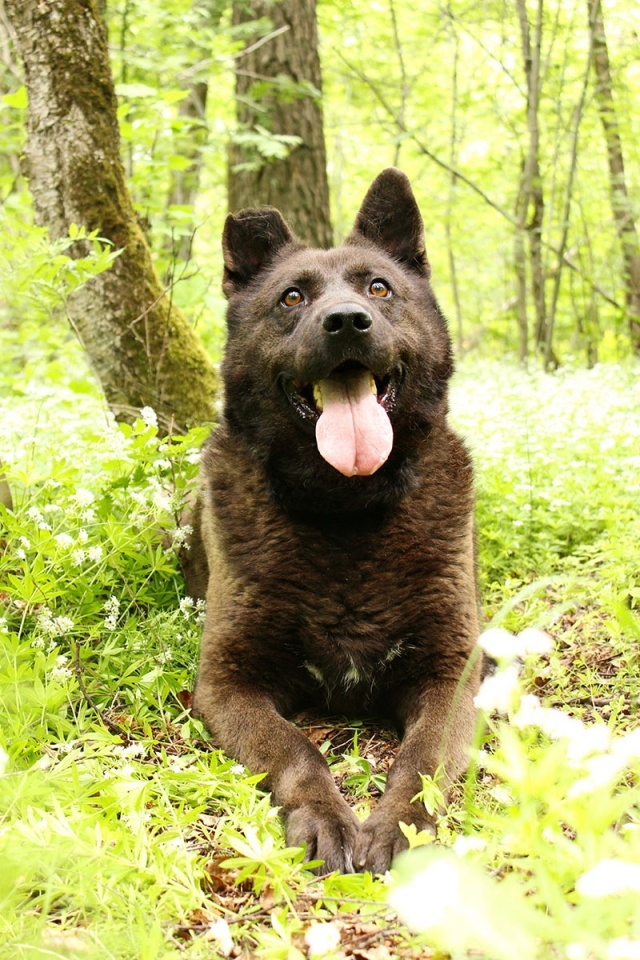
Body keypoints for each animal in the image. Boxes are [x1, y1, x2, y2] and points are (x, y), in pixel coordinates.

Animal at [189, 169, 480, 872]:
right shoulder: (228, 683)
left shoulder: (454, 672)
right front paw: (324, 815)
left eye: (379, 288)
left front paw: (400, 824)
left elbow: (423, 758)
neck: (346, 508)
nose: (346, 322)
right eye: (292, 297)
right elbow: (294, 748)